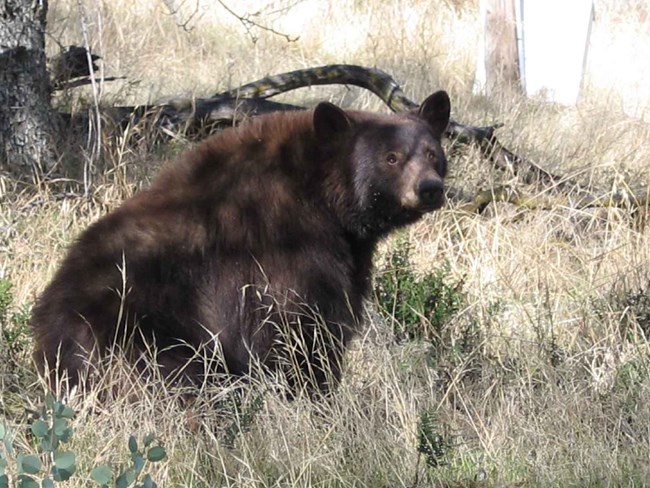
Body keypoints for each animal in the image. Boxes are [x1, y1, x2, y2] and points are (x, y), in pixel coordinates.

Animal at [30, 90, 451, 396]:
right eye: (391, 158)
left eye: (433, 154)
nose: (429, 188)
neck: (322, 197)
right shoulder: (288, 256)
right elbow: (302, 335)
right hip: (145, 339)